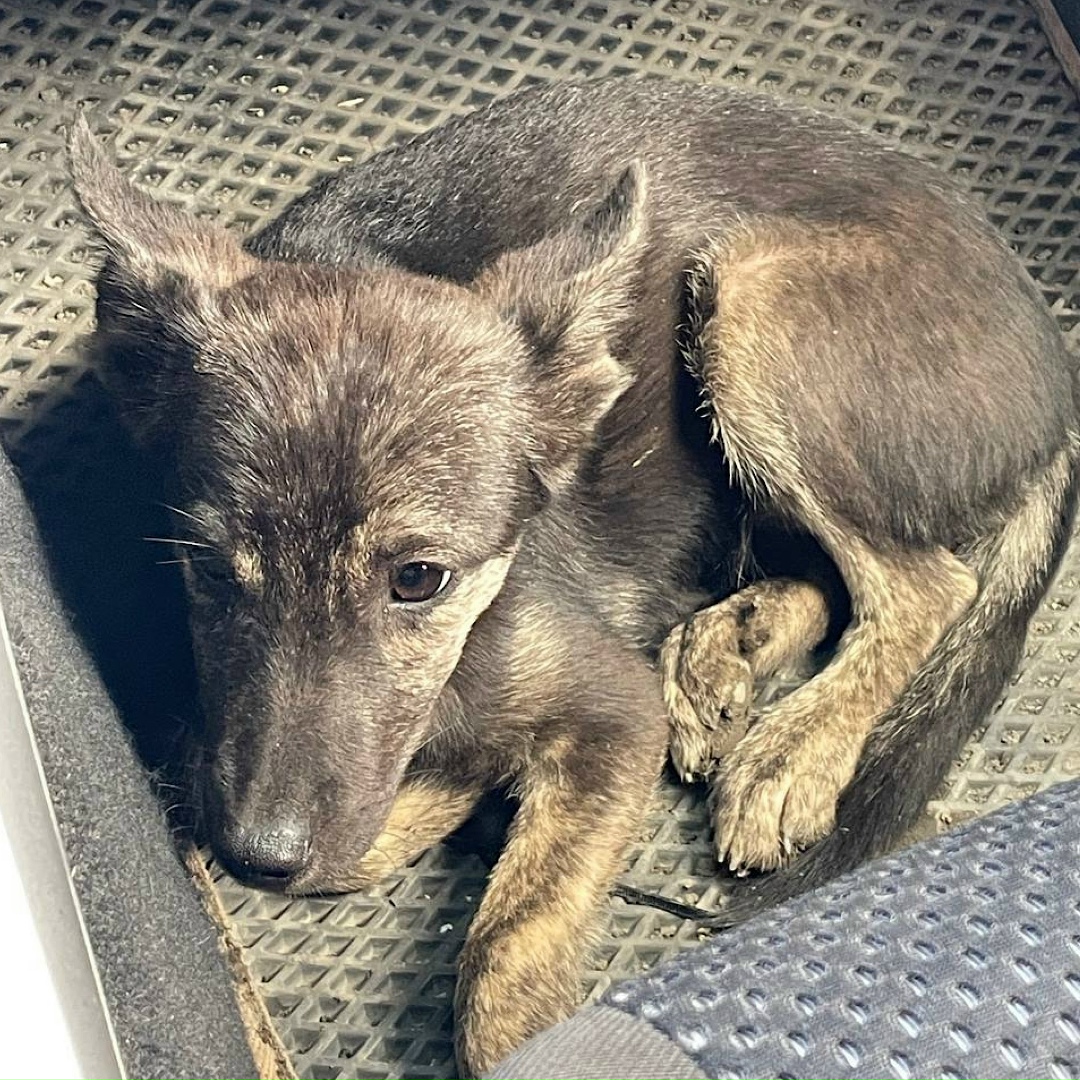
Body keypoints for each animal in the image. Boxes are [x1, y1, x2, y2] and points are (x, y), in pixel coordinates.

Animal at [69, 77, 1078, 1076]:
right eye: (206, 567)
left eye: (419, 578)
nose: (259, 859)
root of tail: (1057, 387)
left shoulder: (608, 711)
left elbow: (505, 950)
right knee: (824, 575)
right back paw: (721, 653)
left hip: (747, 294)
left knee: (924, 584)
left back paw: (796, 747)